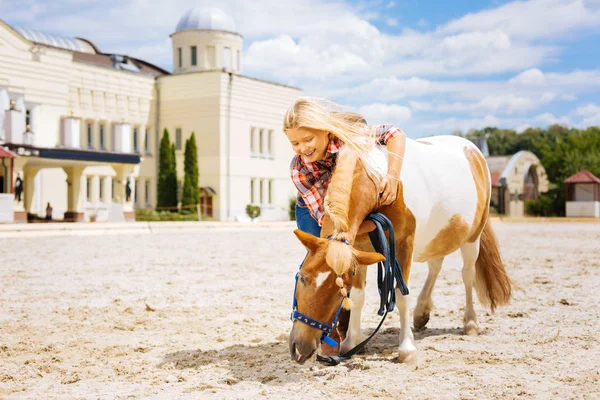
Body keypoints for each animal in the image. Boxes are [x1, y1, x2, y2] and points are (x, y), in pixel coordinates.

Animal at [290, 134, 510, 362]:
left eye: (340, 293)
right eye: (303, 277)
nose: (300, 349)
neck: (379, 178)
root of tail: (474, 152)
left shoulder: (404, 246)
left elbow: (402, 295)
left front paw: (406, 349)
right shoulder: (359, 251)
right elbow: (359, 297)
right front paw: (351, 343)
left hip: (472, 239)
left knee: (467, 275)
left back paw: (470, 323)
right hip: (438, 237)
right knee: (435, 266)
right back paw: (421, 313)